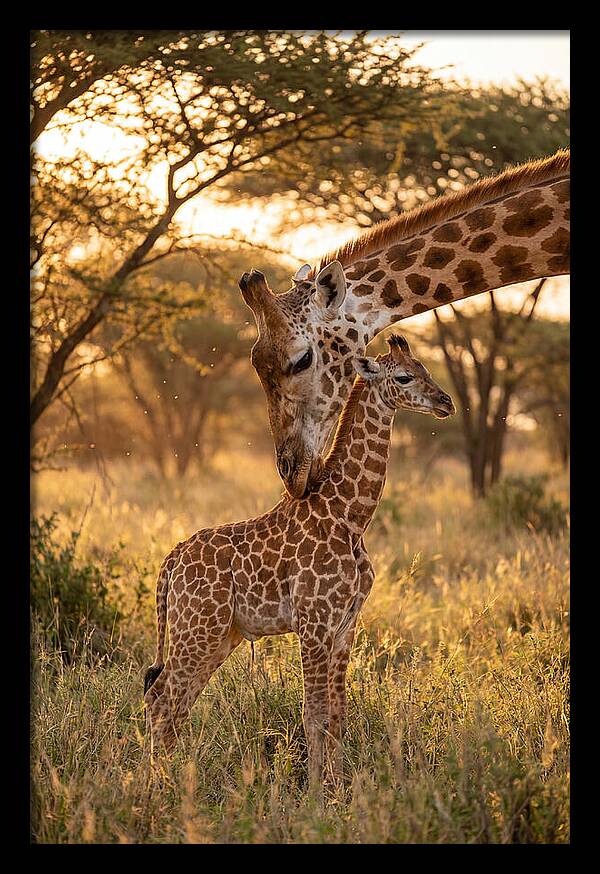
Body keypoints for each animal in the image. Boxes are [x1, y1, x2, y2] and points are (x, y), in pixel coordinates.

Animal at [143, 335, 455, 788]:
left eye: (425, 368)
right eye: (404, 376)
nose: (446, 402)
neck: (349, 515)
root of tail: (170, 563)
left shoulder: (345, 625)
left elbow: (338, 716)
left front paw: (340, 789)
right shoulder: (314, 621)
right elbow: (314, 715)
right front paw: (315, 794)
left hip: (218, 635)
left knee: (172, 700)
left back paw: (170, 780)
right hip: (197, 629)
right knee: (162, 699)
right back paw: (156, 787)